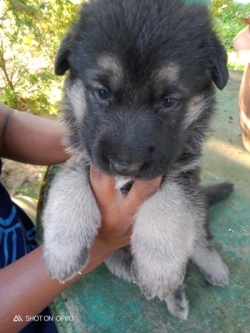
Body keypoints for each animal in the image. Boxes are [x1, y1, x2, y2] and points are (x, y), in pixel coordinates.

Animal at [42, 0, 231, 320]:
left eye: (168, 101)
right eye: (102, 93)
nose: (124, 167)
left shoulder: (182, 173)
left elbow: (168, 207)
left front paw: (158, 267)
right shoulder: (84, 155)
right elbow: (68, 185)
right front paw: (62, 248)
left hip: (197, 211)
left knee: (201, 241)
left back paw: (213, 268)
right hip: (118, 261)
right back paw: (176, 296)